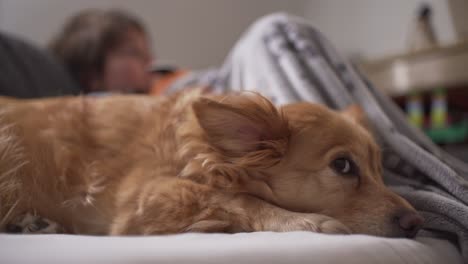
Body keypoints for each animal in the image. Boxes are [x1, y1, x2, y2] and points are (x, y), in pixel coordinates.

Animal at [0, 90, 424, 237]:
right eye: (343, 166)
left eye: (379, 170)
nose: (416, 223)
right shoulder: (142, 200)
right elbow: (239, 198)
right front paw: (304, 221)